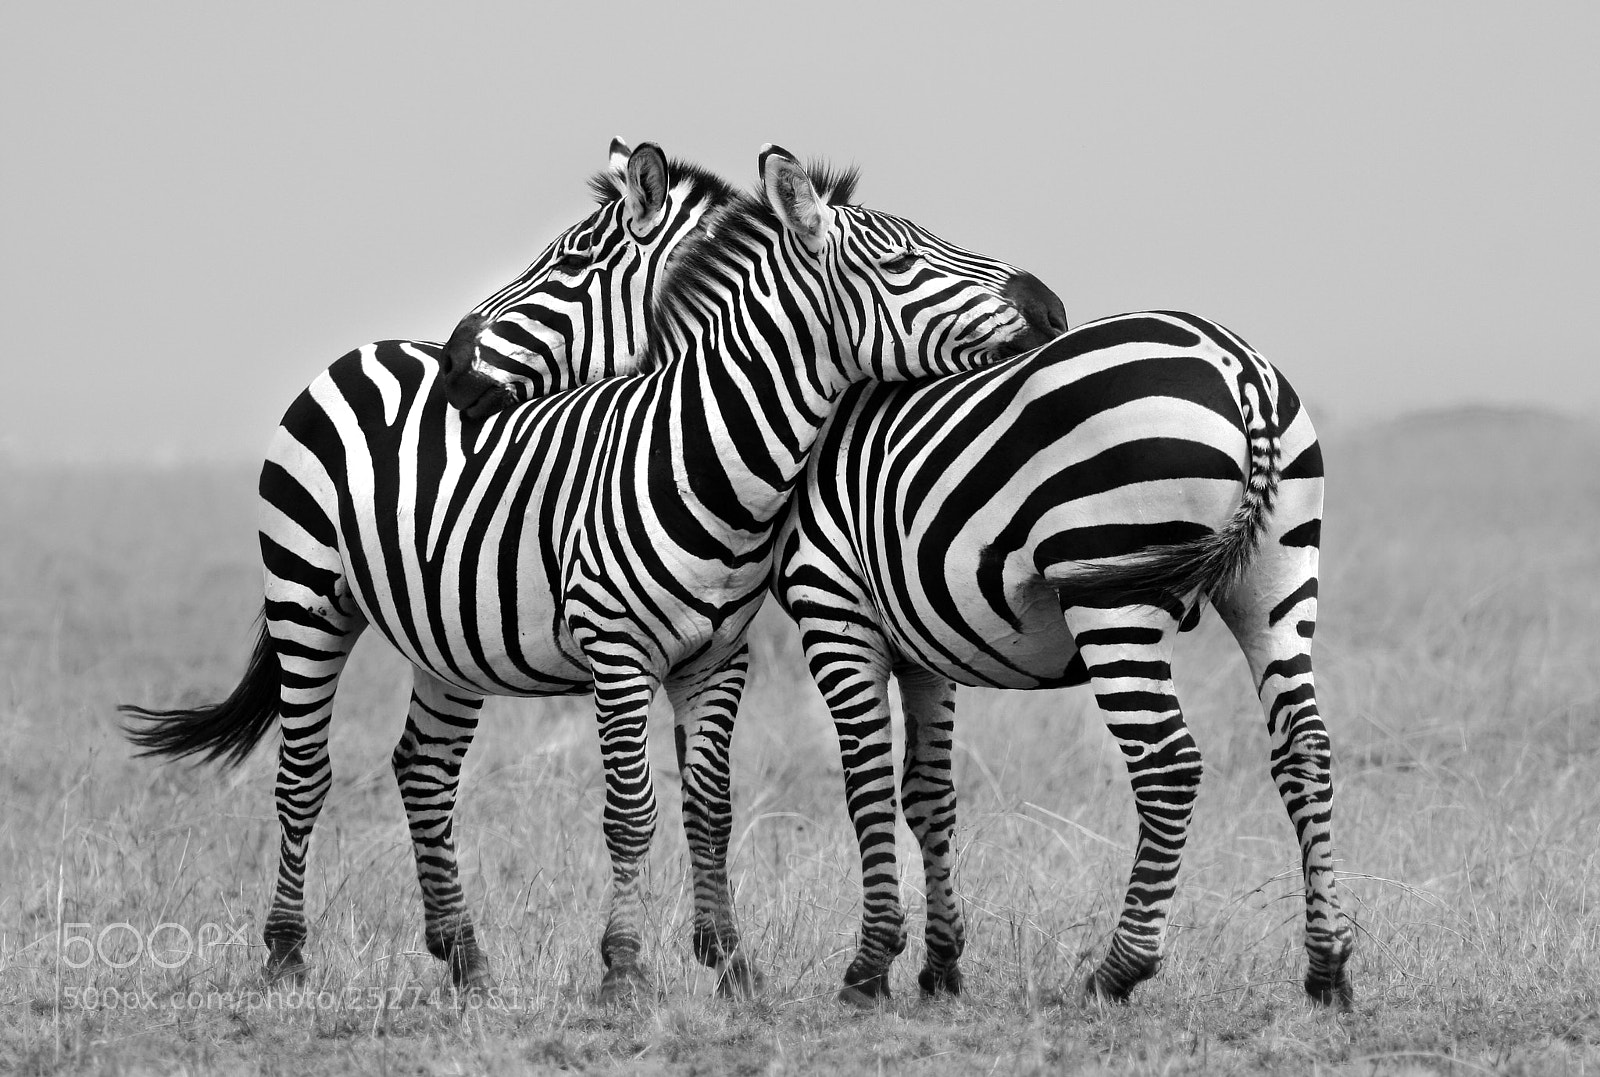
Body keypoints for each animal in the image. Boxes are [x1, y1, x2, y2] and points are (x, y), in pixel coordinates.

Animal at [121, 140, 1066, 1003]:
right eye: (904, 258)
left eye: (569, 262)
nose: (1050, 304)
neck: (695, 453)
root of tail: (366, 350)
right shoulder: (618, 654)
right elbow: (631, 810)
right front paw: (624, 968)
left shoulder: (719, 661)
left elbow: (710, 805)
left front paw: (731, 964)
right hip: (306, 598)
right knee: (303, 773)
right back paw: (286, 953)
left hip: (444, 639)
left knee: (423, 769)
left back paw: (465, 959)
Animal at [769, 311, 1356, 1007]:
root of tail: (1237, 365)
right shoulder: (917, 639)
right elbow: (927, 793)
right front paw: (941, 969)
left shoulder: (833, 606)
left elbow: (868, 785)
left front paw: (868, 970)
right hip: (1279, 572)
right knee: (1305, 748)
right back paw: (1328, 968)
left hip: (1111, 579)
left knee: (1168, 765)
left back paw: (1119, 969)